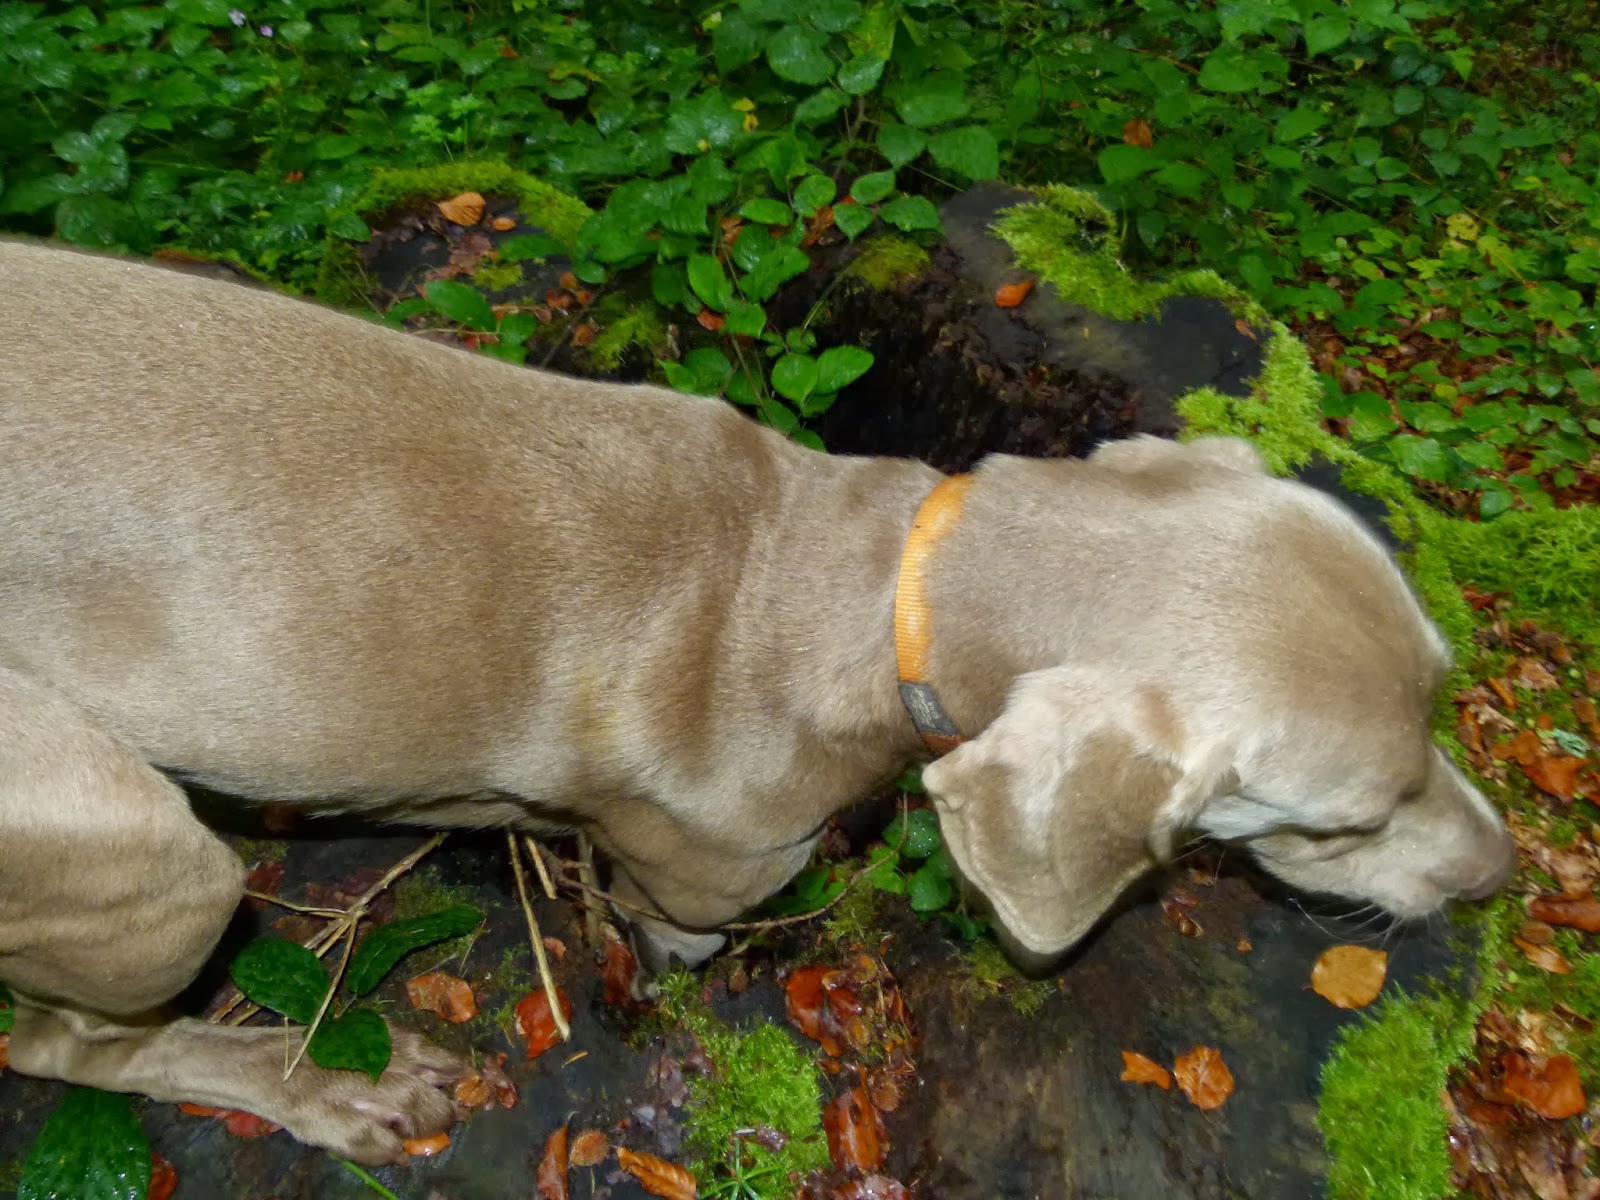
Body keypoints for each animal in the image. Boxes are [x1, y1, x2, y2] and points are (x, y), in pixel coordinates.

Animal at [0, 240, 1512, 1162]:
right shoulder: (701, 877)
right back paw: (325, 1088)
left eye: (1445, 697)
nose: (1504, 874)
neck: (856, 578)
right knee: (64, 1041)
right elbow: (682, 929)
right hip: (141, 861)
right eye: (1342, 821)